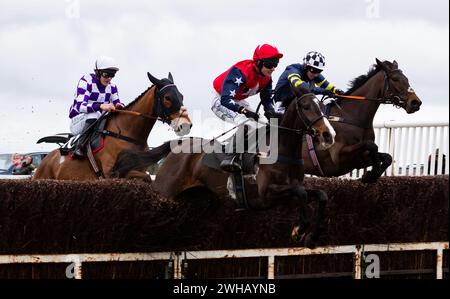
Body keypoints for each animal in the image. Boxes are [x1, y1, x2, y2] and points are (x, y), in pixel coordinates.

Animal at [33, 72, 192, 180]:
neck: (128, 133)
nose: (186, 125)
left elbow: (146, 177)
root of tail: (45, 160)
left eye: (181, 96)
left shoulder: (140, 168)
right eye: (167, 98)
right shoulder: (111, 173)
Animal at [112, 92, 338, 247]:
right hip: (165, 191)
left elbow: (321, 194)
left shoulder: (290, 192)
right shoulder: (267, 195)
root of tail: (177, 144)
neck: (281, 150)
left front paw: (313, 236)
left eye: (322, 107)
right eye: (306, 107)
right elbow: (301, 193)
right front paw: (299, 230)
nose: (329, 135)